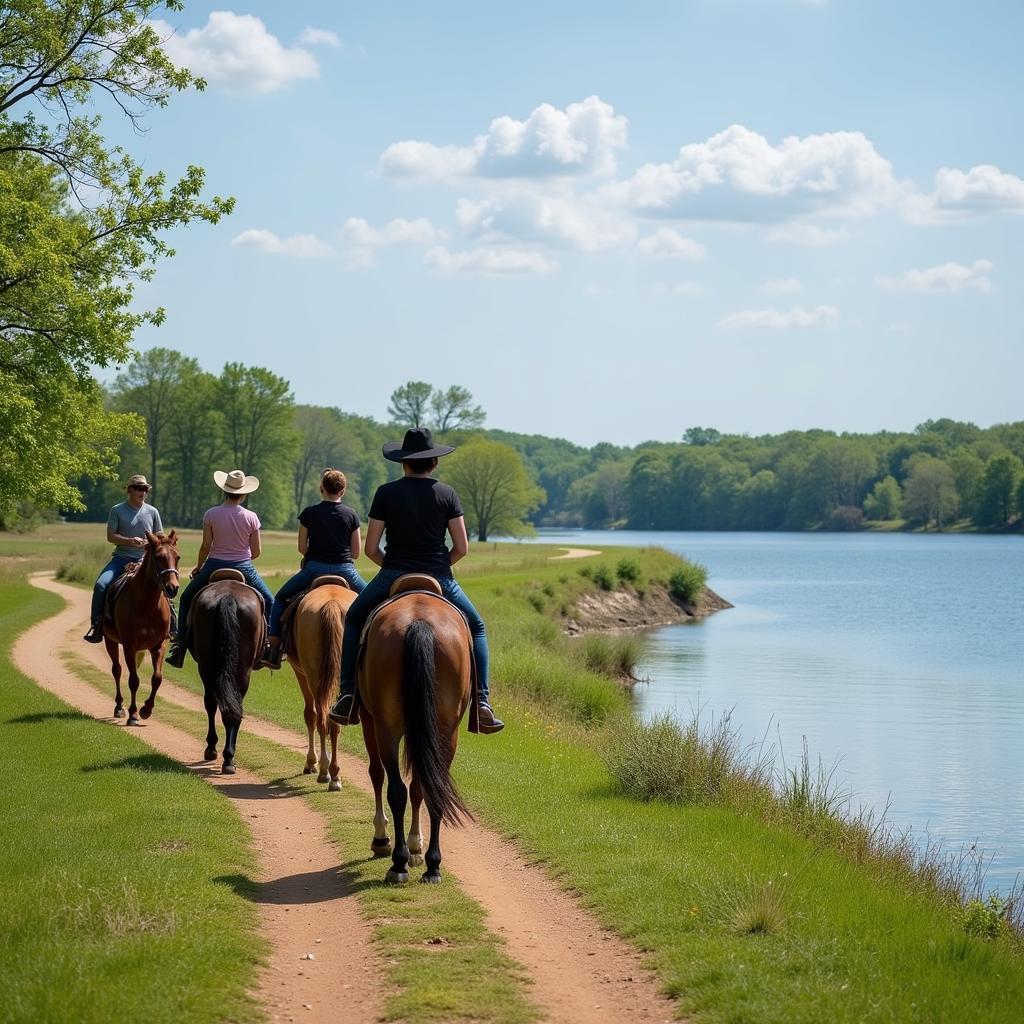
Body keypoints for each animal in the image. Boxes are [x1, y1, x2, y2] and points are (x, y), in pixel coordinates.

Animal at [101, 532, 180, 724]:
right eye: (158, 558)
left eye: (177, 557)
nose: (173, 588)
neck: (148, 605)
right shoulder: (129, 645)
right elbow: (134, 680)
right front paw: (133, 714)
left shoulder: (159, 644)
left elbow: (157, 678)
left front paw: (146, 709)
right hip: (110, 641)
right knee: (117, 670)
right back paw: (119, 707)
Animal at [189, 577, 266, 774]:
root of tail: (228, 597)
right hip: (241, 670)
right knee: (232, 706)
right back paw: (228, 757)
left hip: (208, 667)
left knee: (214, 703)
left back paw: (220, 753)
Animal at [284, 581, 356, 786]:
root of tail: (331, 605)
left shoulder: (300, 673)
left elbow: (310, 715)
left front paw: (310, 762)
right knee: (333, 720)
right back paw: (334, 773)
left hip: (313, 677)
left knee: (321, 718)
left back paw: (324, 770)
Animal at [358, 589, 473, 884]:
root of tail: (419, 622)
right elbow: (419, 785)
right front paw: (416, 848)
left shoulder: (368, 718)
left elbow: (377, 773)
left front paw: (384, 840)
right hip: (446, 729)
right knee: (431, 786)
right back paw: (433, 866)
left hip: (386, 727)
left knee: (396, 788)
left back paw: (397, 862)